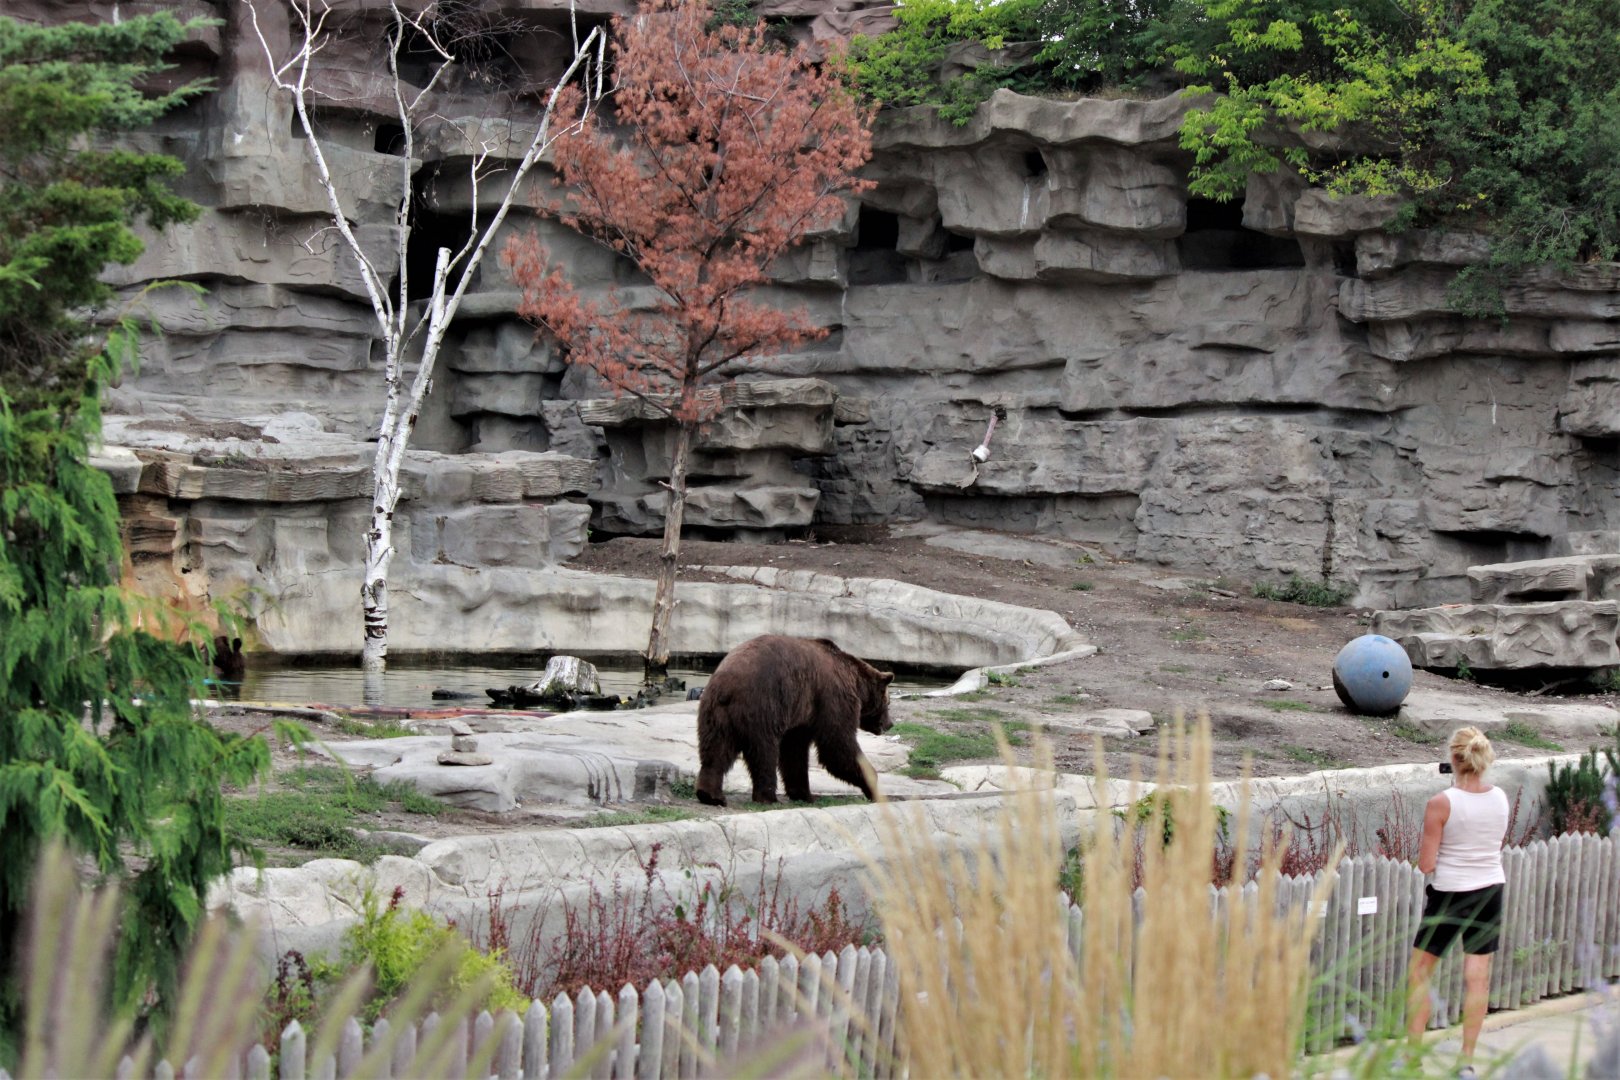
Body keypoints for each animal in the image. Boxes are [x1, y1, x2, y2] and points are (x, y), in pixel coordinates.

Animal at [695, 634, 894, 807]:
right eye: (888, 702)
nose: (890, 724)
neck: (856, 681)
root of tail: (726, 685)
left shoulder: (802, 714)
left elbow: (794, 751)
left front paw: (803, 794)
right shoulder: (833, 698)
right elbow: (837, 745)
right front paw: (872, 786)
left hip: (716, 715)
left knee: (715, 751)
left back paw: (711, 795)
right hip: (762, 706)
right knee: (764, 752)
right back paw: (768, 797)